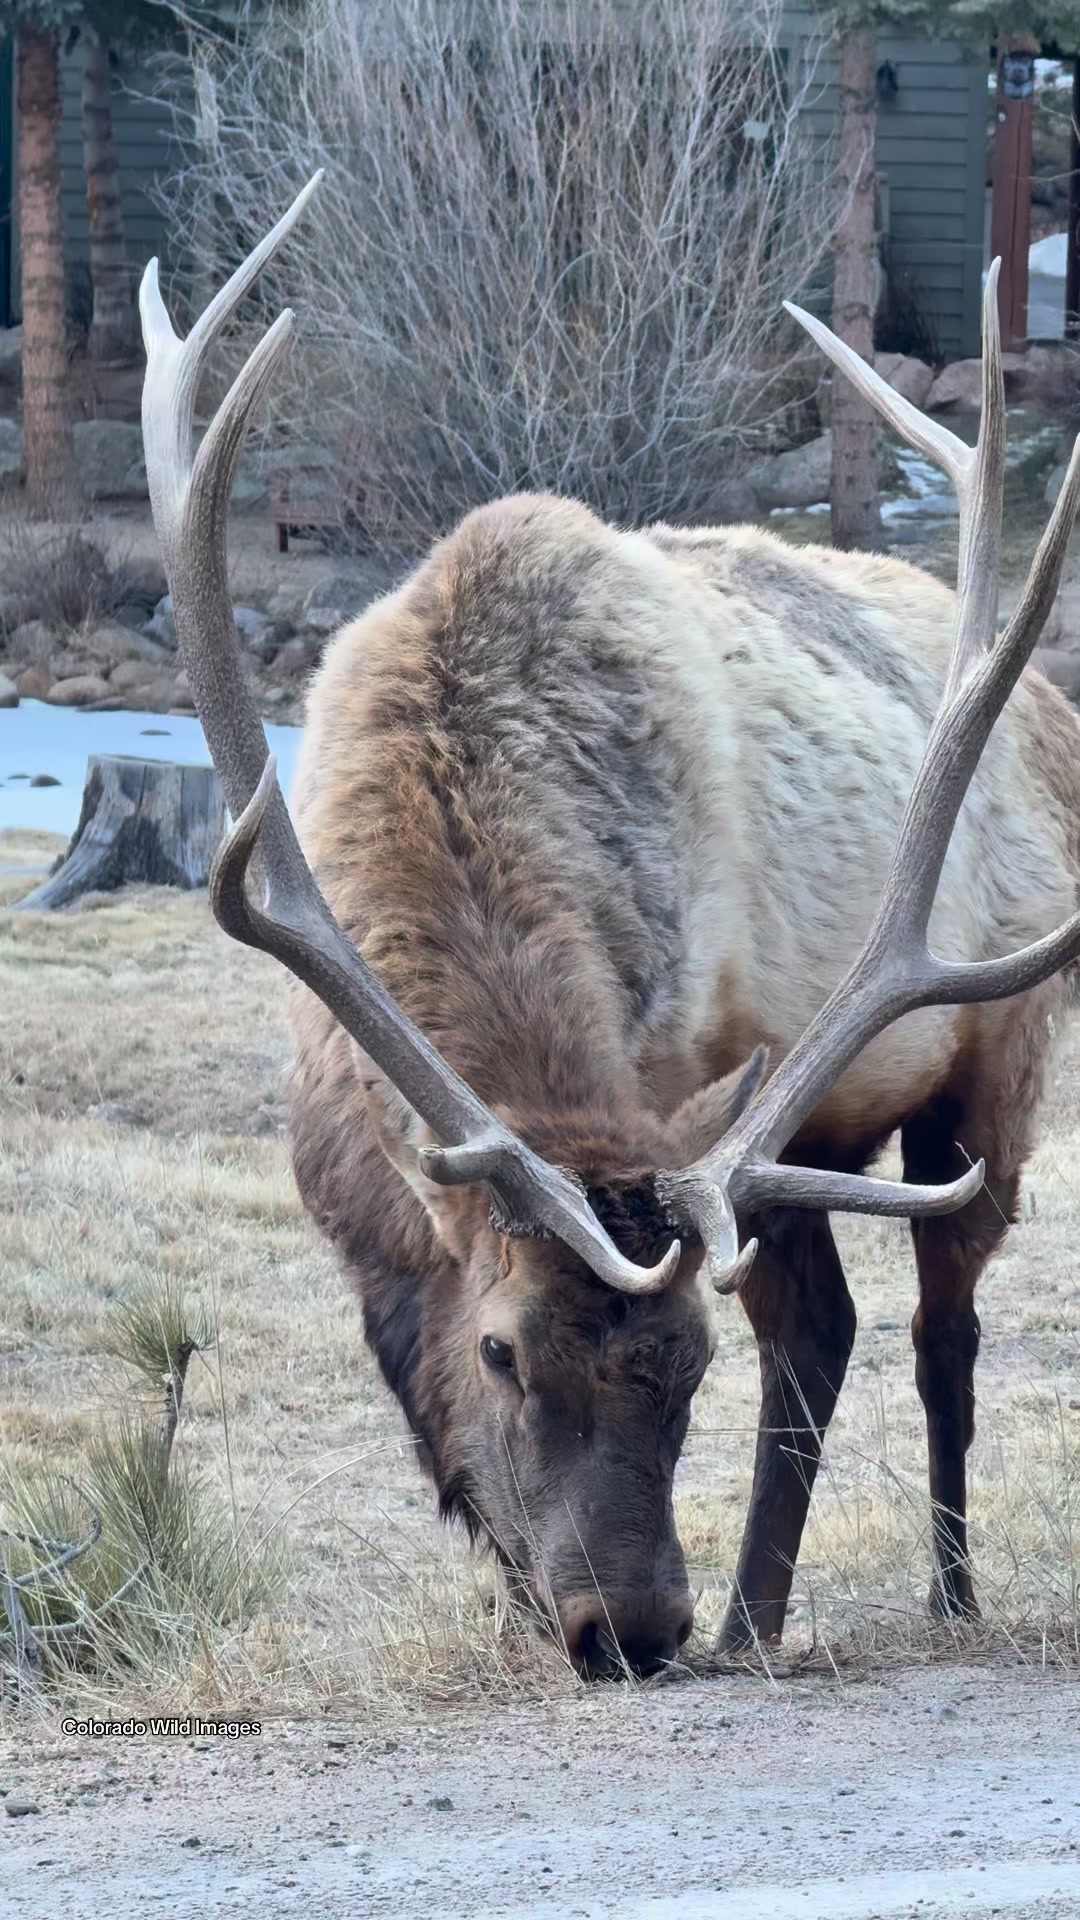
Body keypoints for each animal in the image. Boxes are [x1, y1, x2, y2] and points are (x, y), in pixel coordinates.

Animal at [140, 175, 1080, 1678]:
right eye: (504, 1352)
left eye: (688, 1365)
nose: (630, 1628)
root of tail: (1047, 707)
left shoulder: (687, 1090)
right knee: (831, 1327)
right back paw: (760, 1615)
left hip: (993, 1057)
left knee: (939, 1328)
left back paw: (925, 1596)